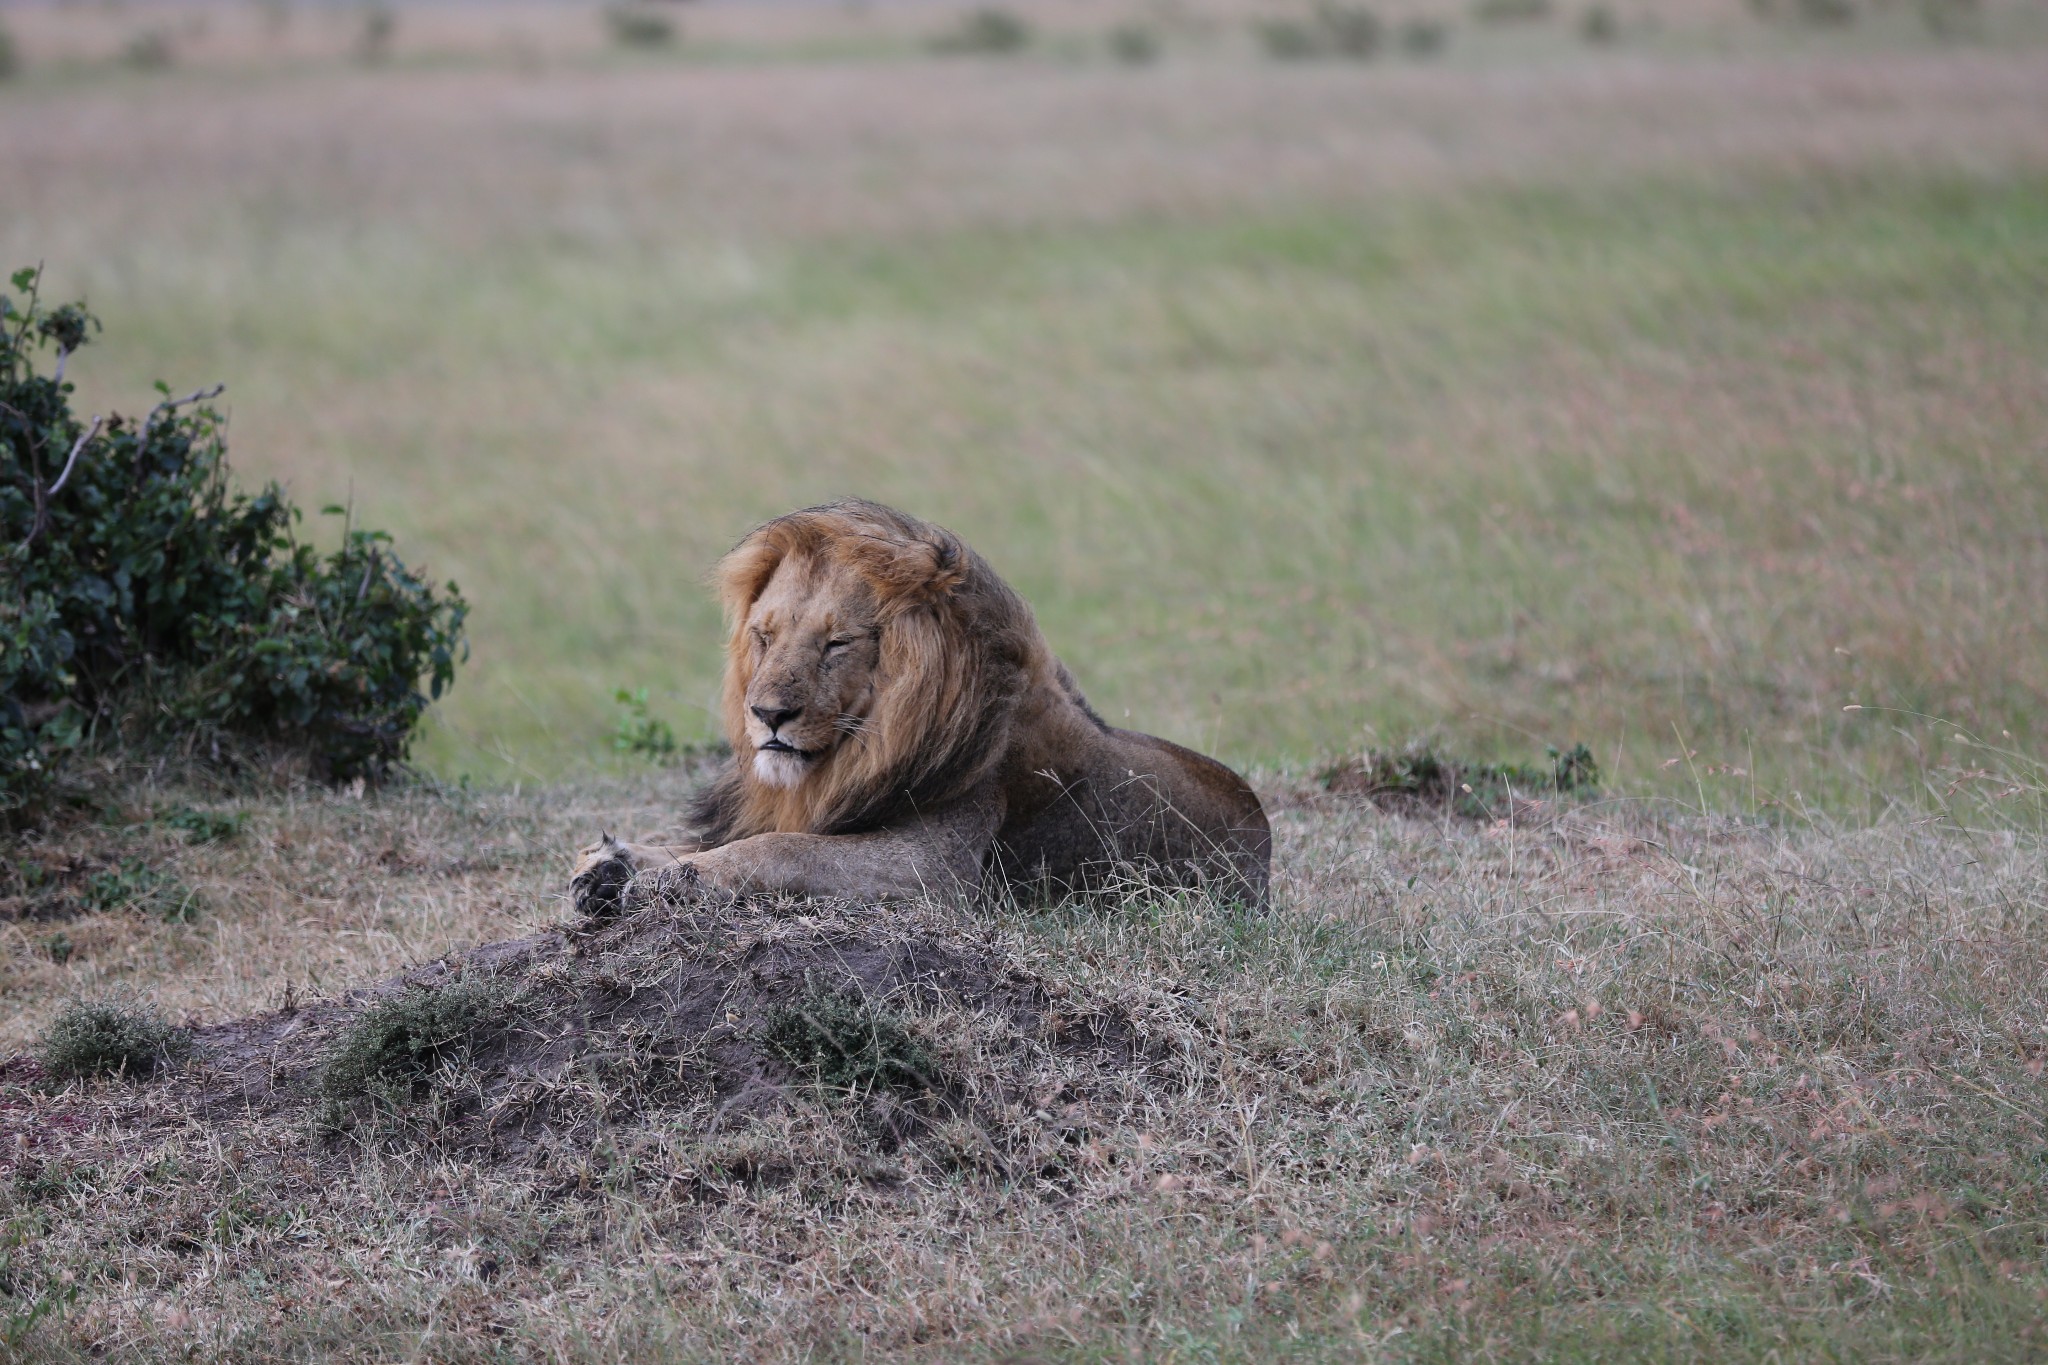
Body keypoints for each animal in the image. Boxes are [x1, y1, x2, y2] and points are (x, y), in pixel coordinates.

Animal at [573, 505, 1261, 916]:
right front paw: (611, 865)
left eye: (837, 644)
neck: (855, 754)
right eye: (765, 637)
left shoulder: (935, 871)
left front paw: (666, 880)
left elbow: (781, 848)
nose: (767, 714)